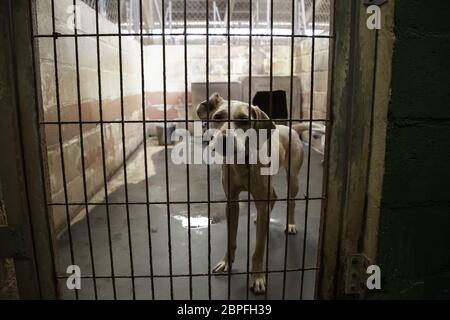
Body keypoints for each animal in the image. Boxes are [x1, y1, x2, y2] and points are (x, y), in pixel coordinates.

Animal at [197, 92, 310, 292]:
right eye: (217, 117)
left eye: (244, 120)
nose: (223, 140)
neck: (243, 163)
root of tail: (289, 127)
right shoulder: (232, 203)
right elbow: (230, 239)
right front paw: (226, 262)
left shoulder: (260, 200)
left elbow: (258, 249)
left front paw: (257, 277)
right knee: (273, 197)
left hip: (293, 179)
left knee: (290, 201)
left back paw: (290, 224)